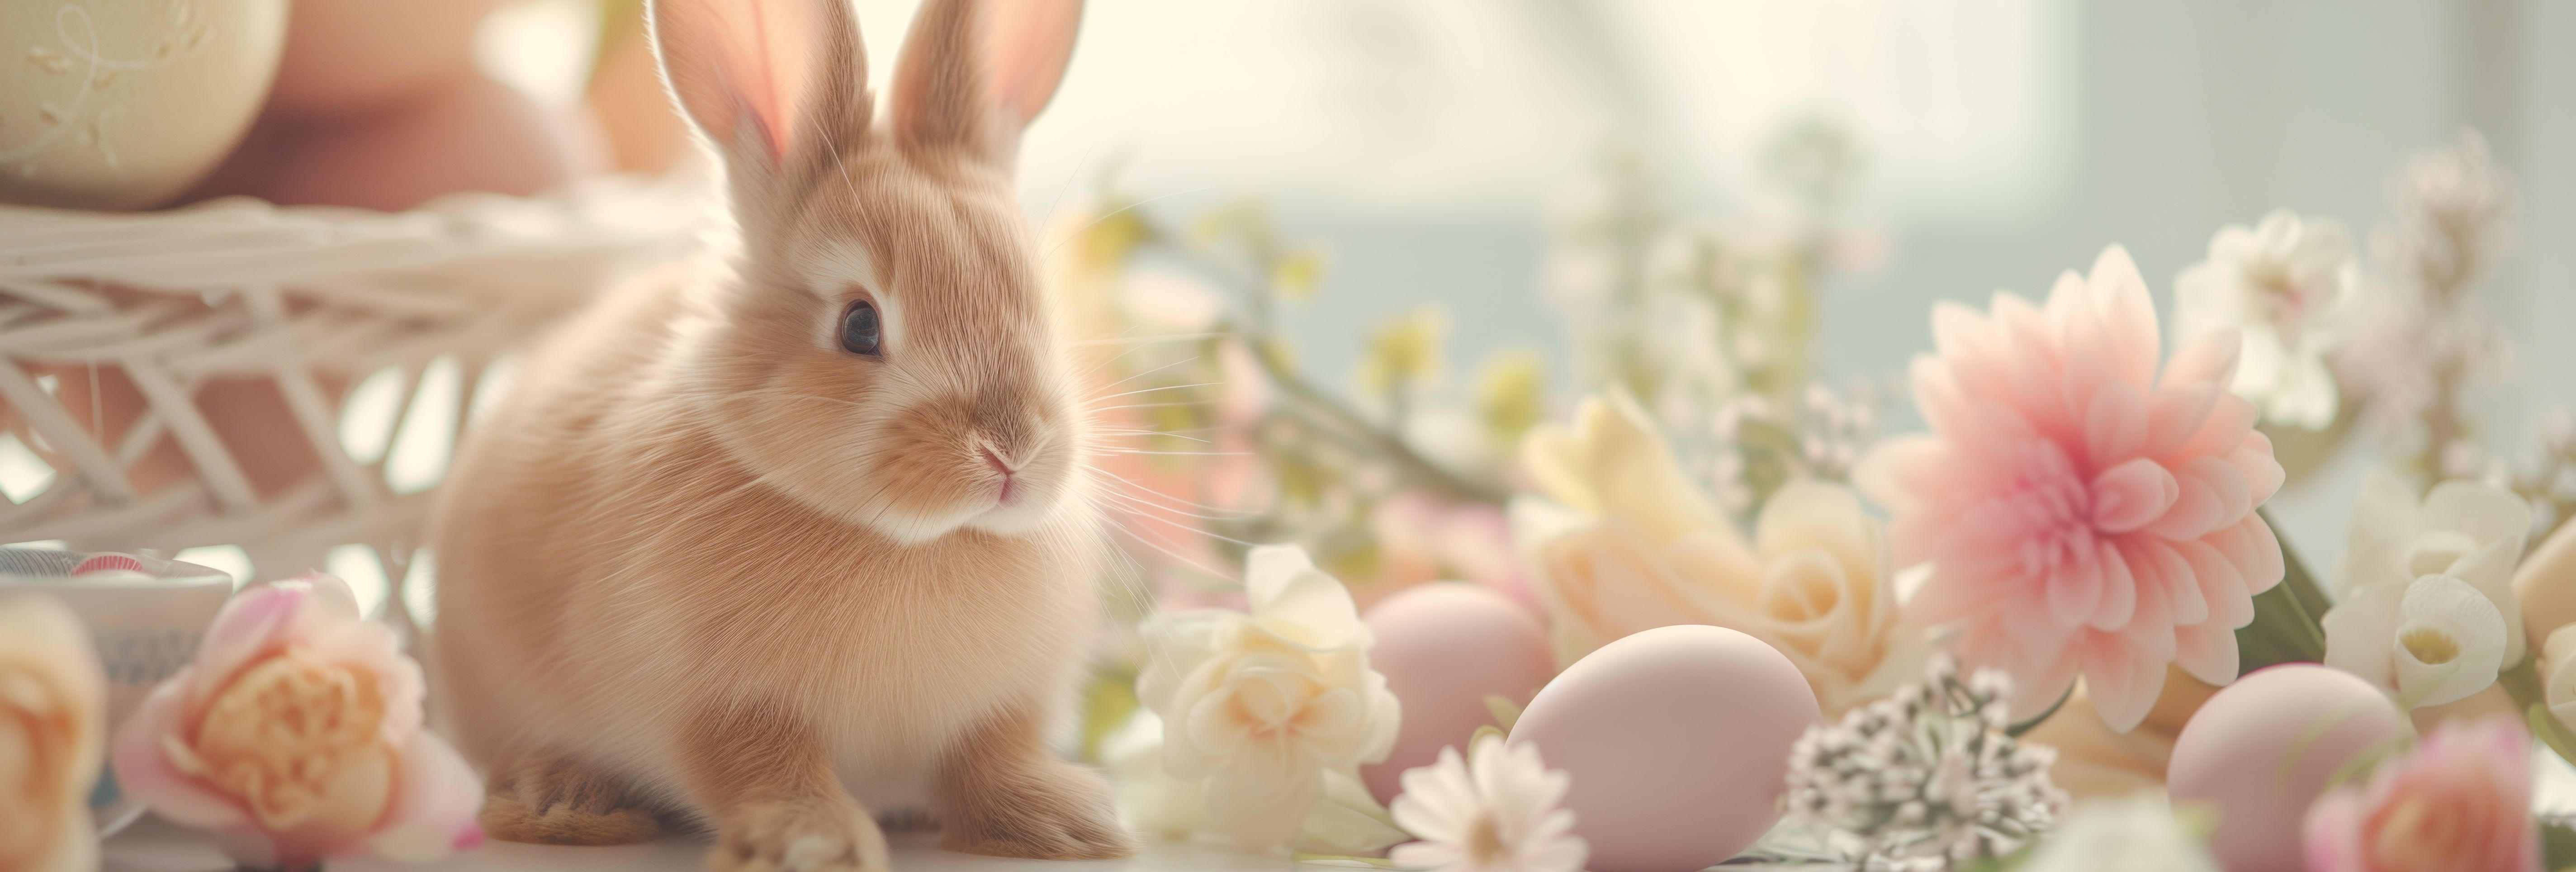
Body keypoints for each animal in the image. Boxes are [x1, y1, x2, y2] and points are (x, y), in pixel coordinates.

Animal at [424, 0, 1130, 868]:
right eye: (859, 325)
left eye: (1036, 300)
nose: (1011, 452)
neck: (912, 542)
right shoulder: (715, 702)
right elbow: (761, 765)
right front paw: (813, 842)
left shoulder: (1003, 708)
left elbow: (989, 761)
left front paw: (1069, 825)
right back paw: (565, 801)